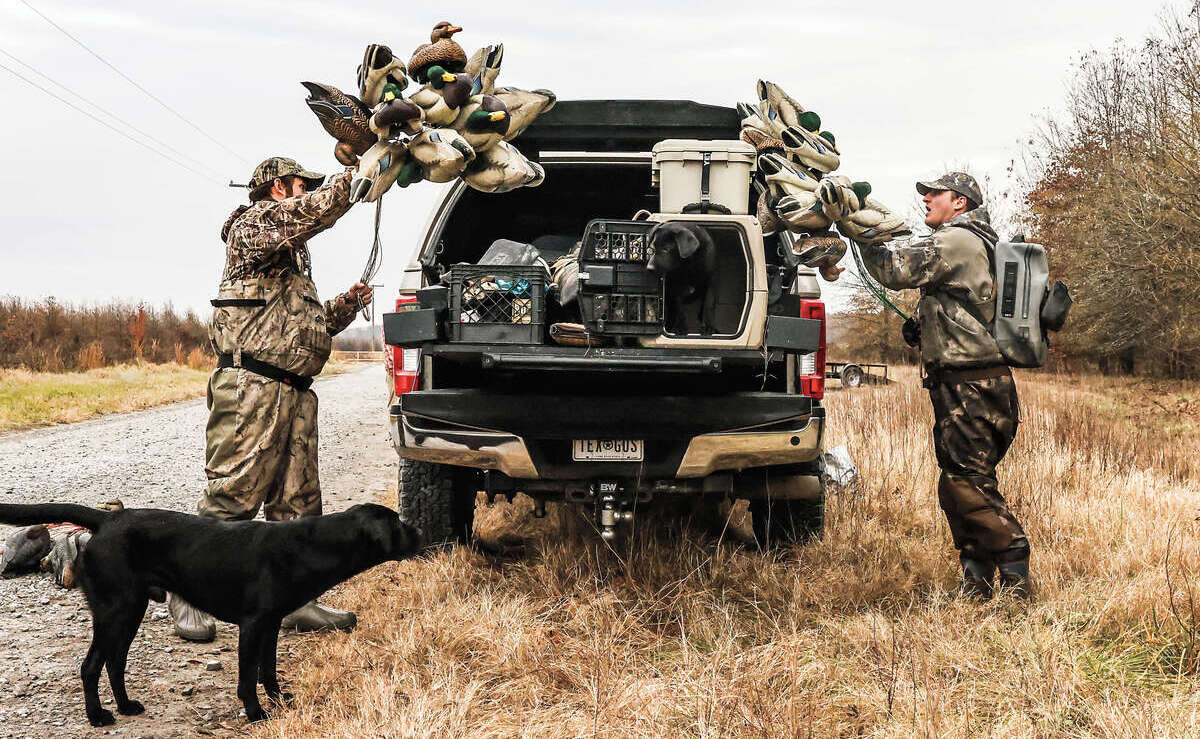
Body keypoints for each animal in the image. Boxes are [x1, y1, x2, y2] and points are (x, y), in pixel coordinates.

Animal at [0, 501, 422, 729]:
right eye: (399, 523)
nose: (420, 531)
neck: (310, 546)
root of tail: (107, 519)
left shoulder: (271, 625)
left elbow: (269, 671)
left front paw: (279, 701)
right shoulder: (253, 625)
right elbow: (248, 677)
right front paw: (255, 712)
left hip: (130, 610)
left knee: (115, 663)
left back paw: (125, 706)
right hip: (114, 611)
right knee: (91, 666)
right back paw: (98, 715)